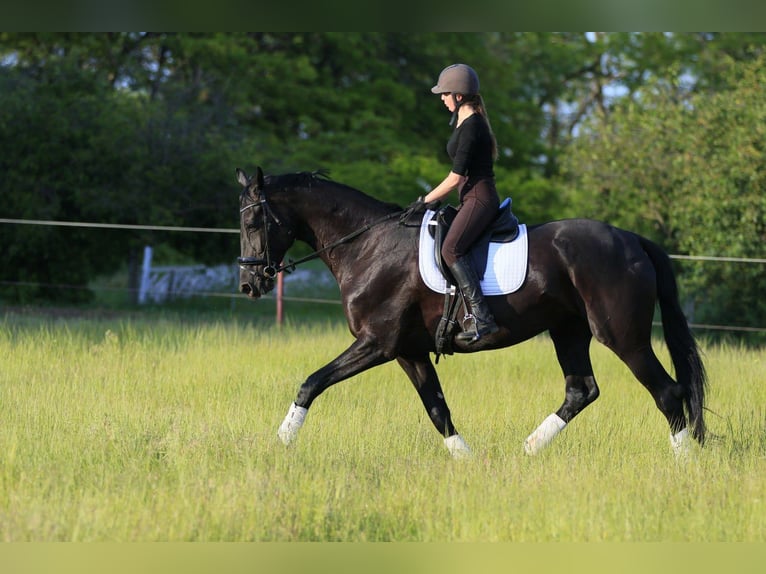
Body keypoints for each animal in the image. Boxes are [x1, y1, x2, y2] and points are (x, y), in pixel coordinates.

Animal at [238, 166, 708, 460]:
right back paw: (527, 450)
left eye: (254, 222)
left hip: (622, 336)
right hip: (569, 330)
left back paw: (684, 463)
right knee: (581, 391)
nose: (249, 284)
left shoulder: (377, 344)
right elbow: (437, 409)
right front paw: (468, 460)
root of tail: (631, 239)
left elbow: (311, 383)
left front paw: (279, 442)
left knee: (668, 392)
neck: (368, 244)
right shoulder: (408, 351)